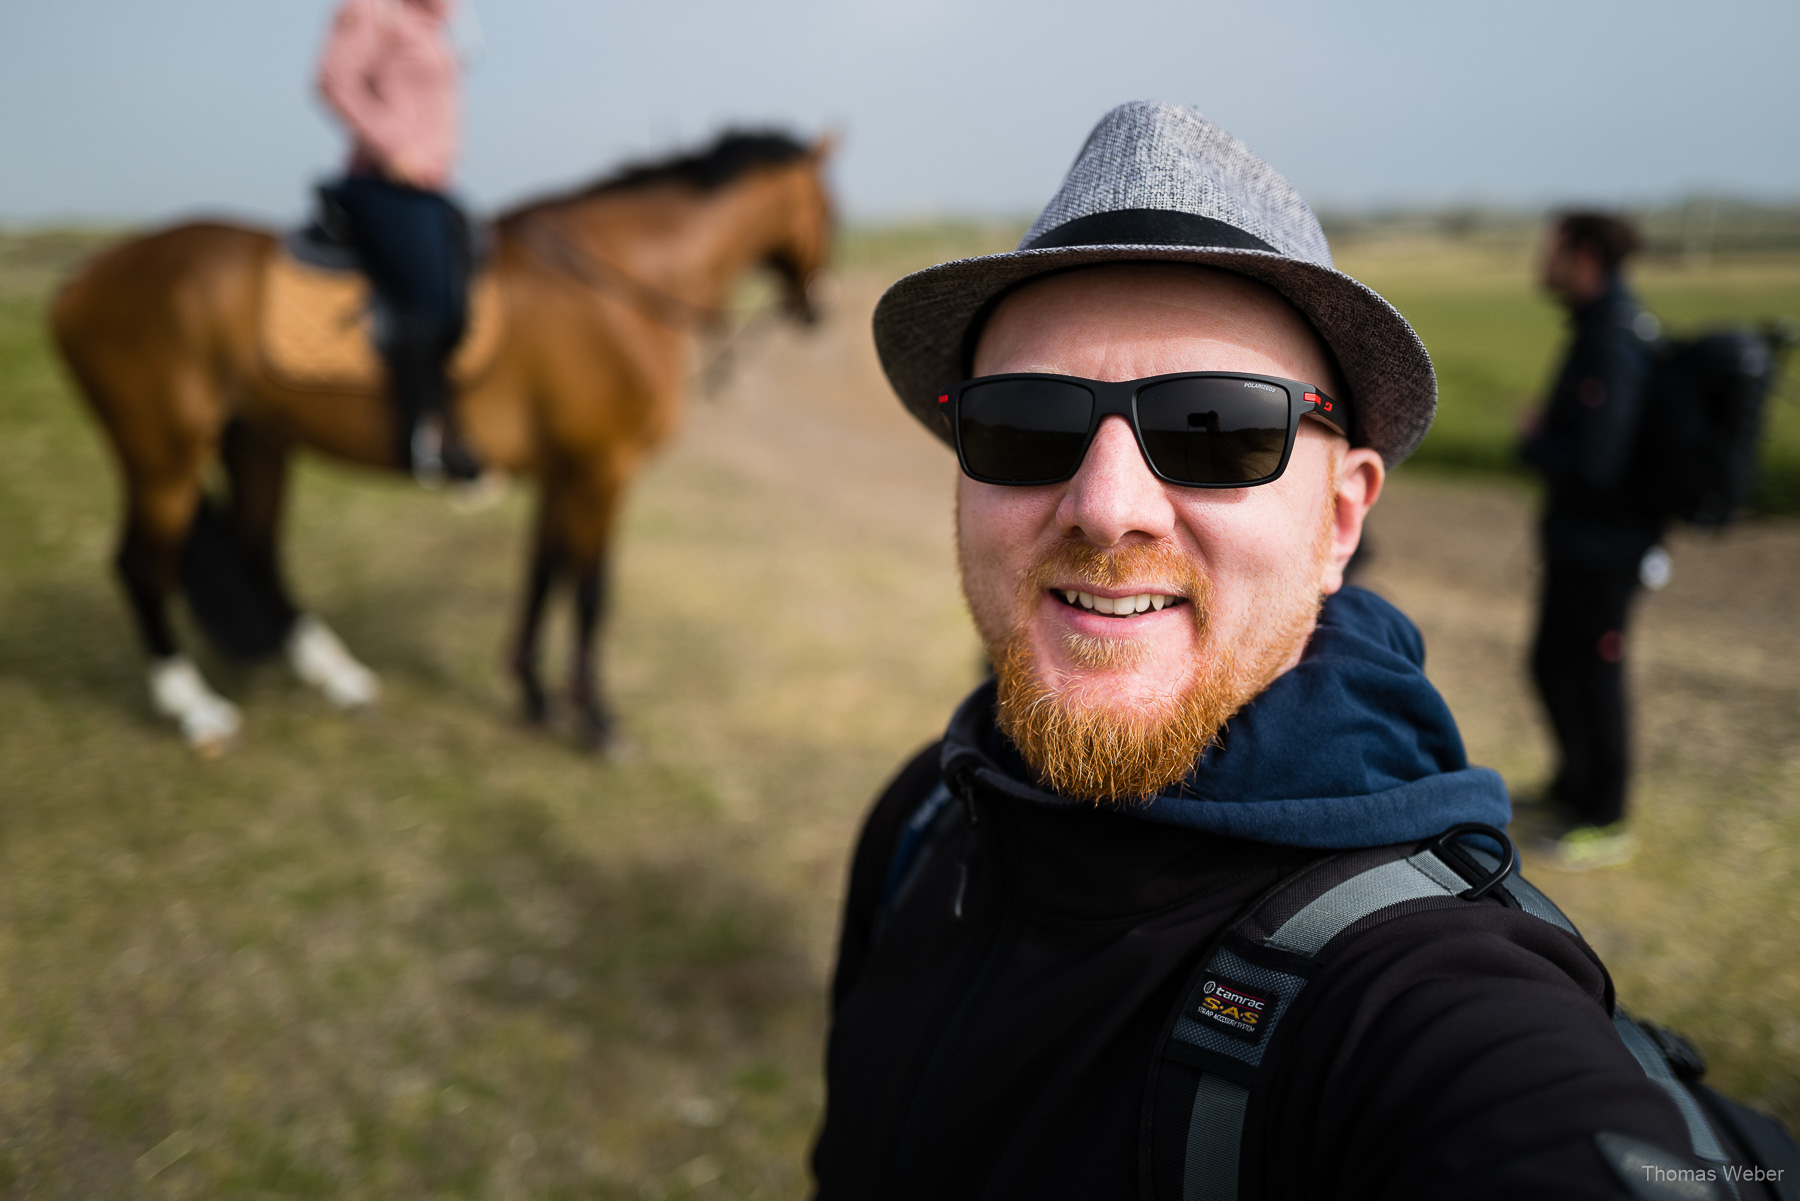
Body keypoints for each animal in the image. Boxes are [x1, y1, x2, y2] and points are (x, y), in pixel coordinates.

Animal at [52, 129, 838, 752]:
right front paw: (598, 723)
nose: (820, 311)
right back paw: (196, 710)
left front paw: (536, 699)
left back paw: (338, 677)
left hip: (255, 440)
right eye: (829, 209)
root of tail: (82, 277)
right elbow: (590, 591)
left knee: (255, 554)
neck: (622, 280)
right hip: (163, 451)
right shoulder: (601, 468)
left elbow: (542, 574)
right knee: (142, 565)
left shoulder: (564, 472)